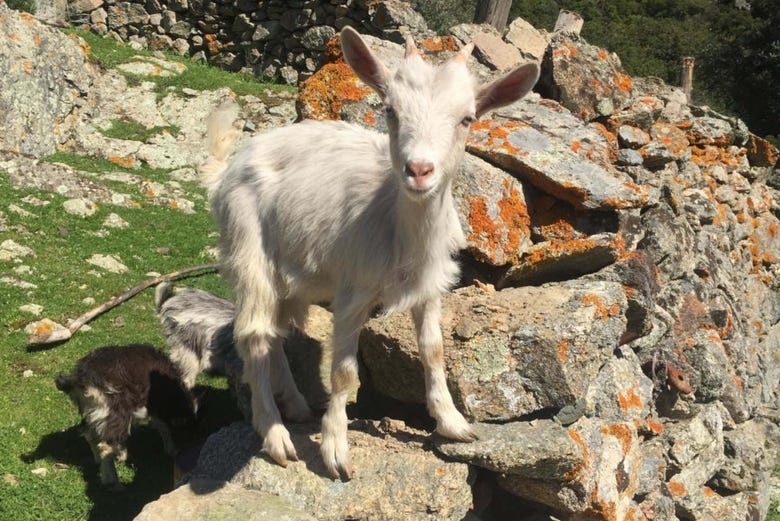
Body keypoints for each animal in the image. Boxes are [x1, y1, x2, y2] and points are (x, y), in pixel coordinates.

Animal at [204, 26, 540, 478]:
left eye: (467, 118)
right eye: (390, 110)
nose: (419, 171)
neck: (399, 227)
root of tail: (228, 168)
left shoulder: (430, 286)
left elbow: (433, 350)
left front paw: (453, 424)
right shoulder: (354, 291)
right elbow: (344, 373)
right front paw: (335, 452)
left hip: (290, 271)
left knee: (275, 334)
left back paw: (295, 405)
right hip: (247, 246)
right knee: (253, 334)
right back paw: (275, 435)